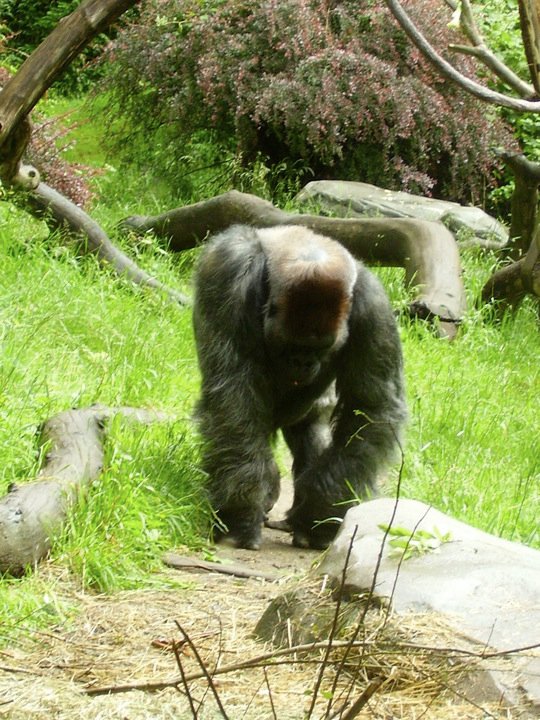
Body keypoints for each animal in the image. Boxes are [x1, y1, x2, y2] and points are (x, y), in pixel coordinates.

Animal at [193, 224, 407, 550]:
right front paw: (243, 509)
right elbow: (233, 397)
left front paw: (319, 510)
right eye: (290, 344)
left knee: (313, 429)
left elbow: (370, 409)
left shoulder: (374, 306)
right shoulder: (230, 272)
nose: (303, 363)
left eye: (321, 347)